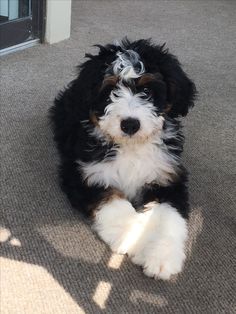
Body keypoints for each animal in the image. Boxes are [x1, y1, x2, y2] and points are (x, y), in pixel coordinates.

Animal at [50, 38, 197, 280]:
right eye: (111, 91)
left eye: (146, 90)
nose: (130, 124)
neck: (131, 148)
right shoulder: (85, 173)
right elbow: (114, 202)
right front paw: (133, 237)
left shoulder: (167, 176)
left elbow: (167, 216)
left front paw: (161, 257)